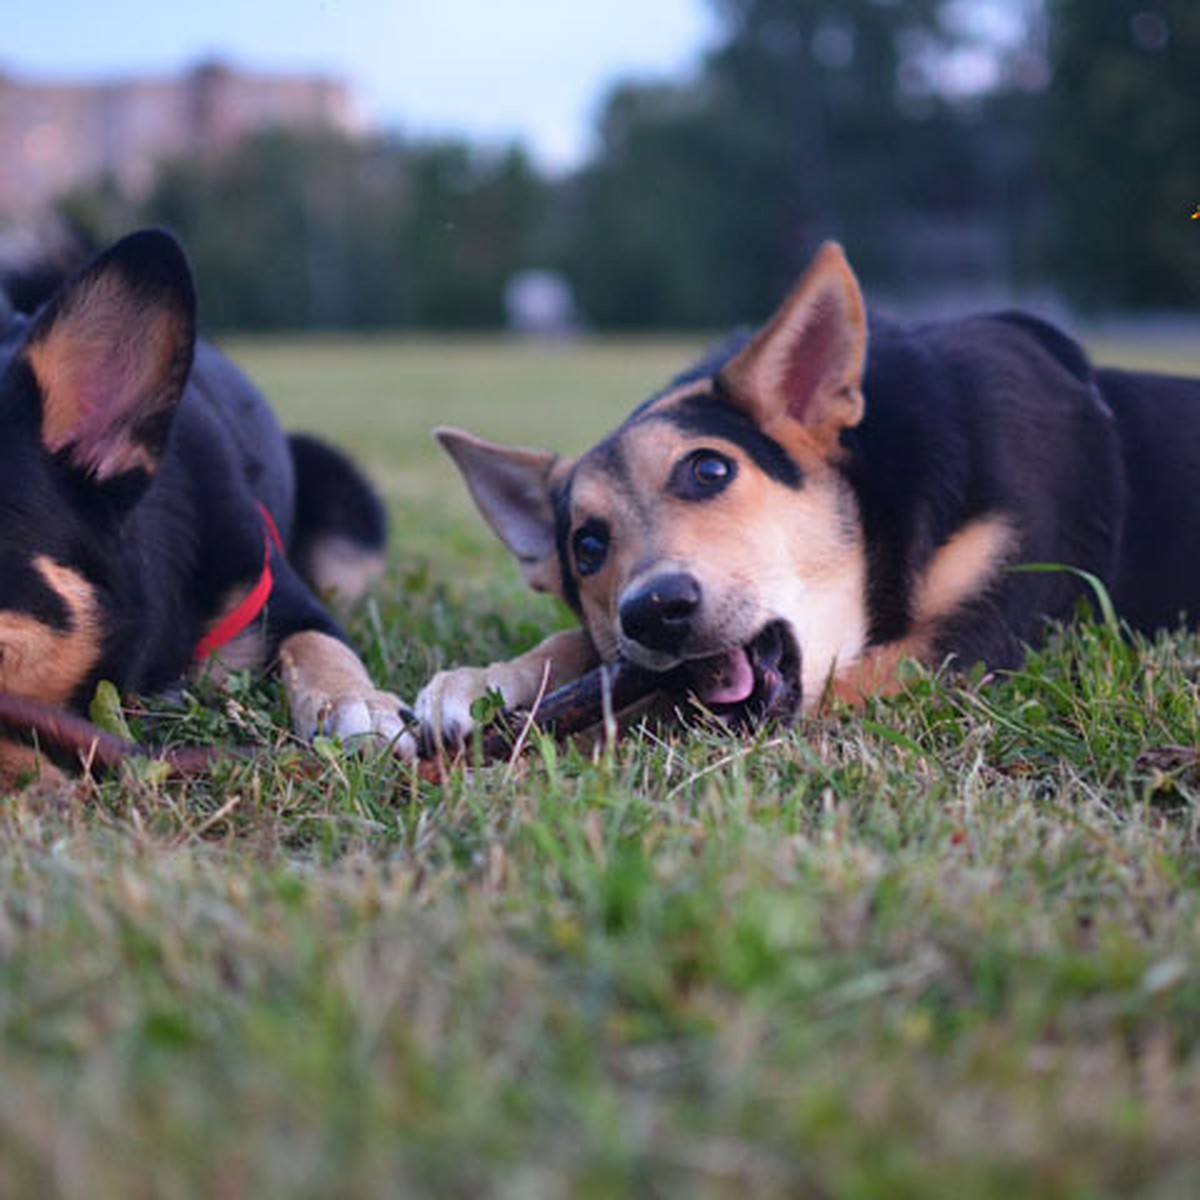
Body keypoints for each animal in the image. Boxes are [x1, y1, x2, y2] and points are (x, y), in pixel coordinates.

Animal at [417, 240, 1200, 744]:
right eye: (585, 547)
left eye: (709, 470)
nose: (655, 611)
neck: (885, 501)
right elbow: (581, 648)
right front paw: (474, 683)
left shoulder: (978, 635)